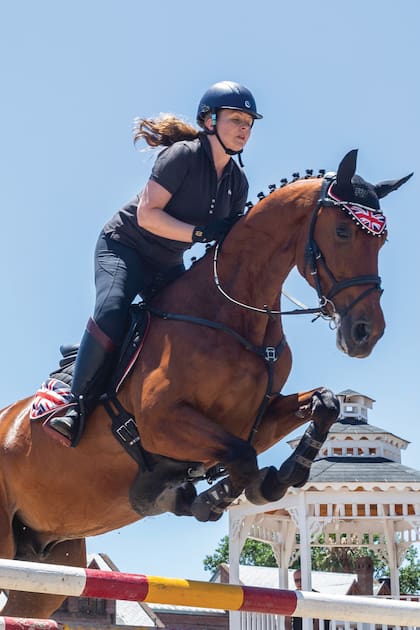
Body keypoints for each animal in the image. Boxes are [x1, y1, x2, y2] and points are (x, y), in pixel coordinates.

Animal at [0, 151, 412, 620]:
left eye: (381, 242)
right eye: (342, 232)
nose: (365, 333)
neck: (233, 316)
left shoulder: (258, 418)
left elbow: (323, 405)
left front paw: (280, 476)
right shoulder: (162, 423)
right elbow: (243, 458)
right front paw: (210, 497)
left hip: (46, 567)